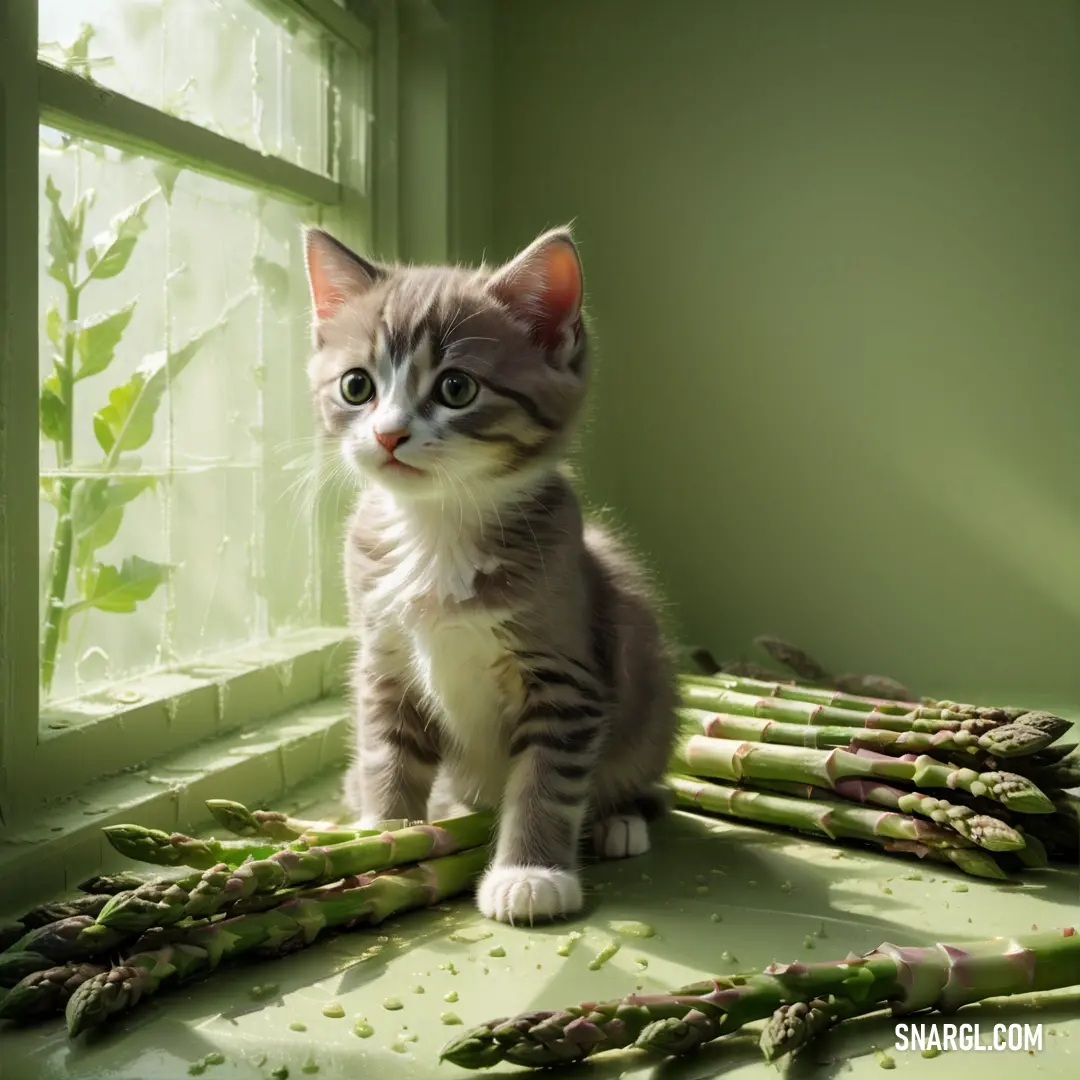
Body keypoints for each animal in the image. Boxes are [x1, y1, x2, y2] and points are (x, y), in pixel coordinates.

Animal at [304, 223, 673, 924]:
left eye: (456, 389)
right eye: (357, 386)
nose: (388, 435)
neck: (436, 529)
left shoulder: (565, 674)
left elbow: (545, 782)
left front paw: (530, 874)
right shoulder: (383, 660)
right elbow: (388, 758)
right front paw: (387, 838)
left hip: (650, 694)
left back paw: (621, 820)